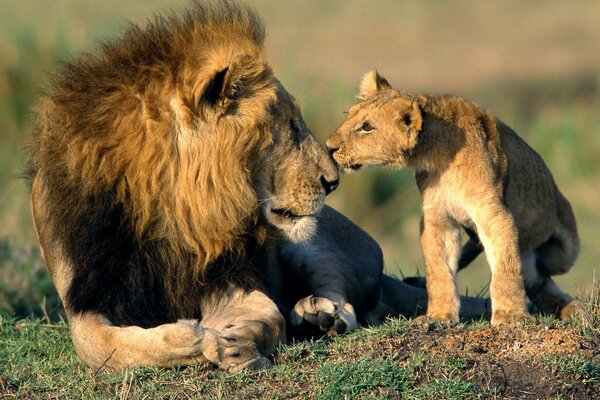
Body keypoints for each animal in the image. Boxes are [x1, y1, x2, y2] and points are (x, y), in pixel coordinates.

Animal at [27, 3, 492, 372]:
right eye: (290, 126)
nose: (333, 181)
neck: (171, 211)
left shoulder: (232, 274)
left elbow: (266, 314)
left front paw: (233, 339)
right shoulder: (84, 295)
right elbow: (97, 346)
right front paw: (189, 338)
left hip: (313, 241)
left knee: (346, 300)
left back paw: (319, 315)